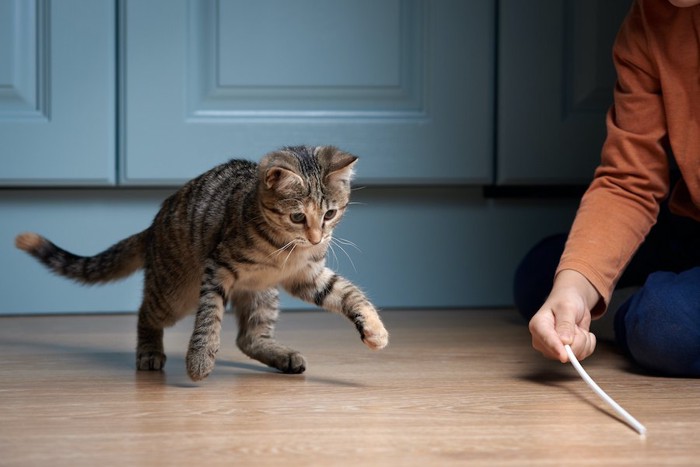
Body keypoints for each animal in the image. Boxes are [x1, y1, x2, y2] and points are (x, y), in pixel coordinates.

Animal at [15, 145, 388, 380]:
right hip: (174, 293)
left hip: (262, 294)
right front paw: (200, 358)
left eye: (330, 214)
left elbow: (348, 293)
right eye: (298, 216)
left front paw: (374, 329)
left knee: (249, 338)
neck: (286, 249)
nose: (316, 238)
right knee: (145, 312)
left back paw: (282, 356)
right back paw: (148, 351)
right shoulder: (217, 268)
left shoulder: (307, 275)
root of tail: (152, 228)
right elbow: (209, 317)